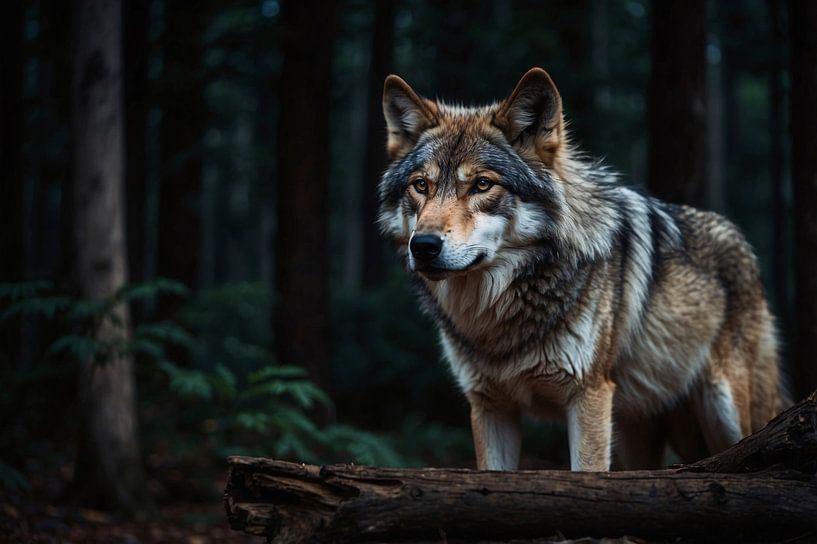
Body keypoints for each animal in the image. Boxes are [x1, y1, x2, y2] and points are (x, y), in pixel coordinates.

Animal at [377, 68, 786, 471]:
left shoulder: (588, 397)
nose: (423, 246)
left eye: (481, 184)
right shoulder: (490, 405)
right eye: (421, 185)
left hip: (724, 412)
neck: (498, 321)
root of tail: (742, 242)